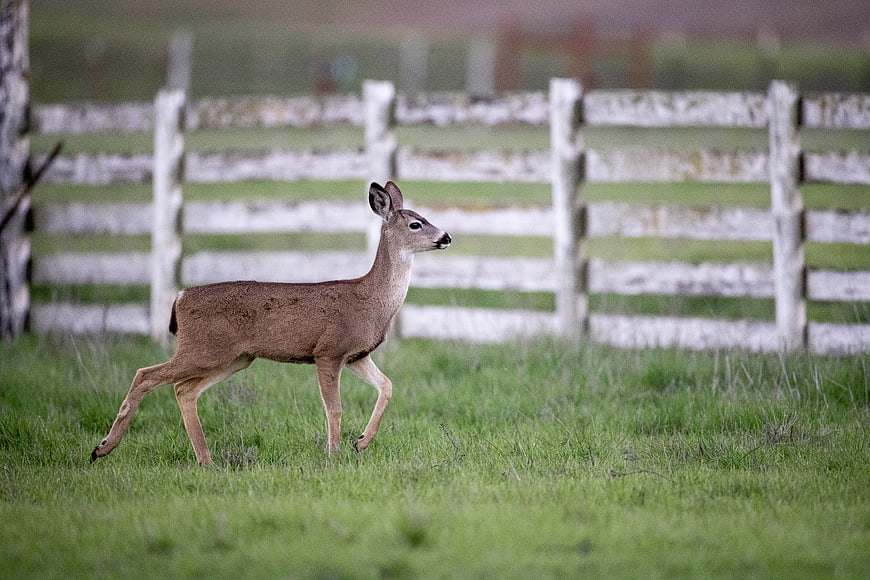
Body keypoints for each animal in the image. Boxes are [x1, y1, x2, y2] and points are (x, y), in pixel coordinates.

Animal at [90, 181, 451, 465]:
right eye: (416, 224)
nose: (446, 236)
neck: (371, 300)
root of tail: (179, 297)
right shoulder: (328, 350)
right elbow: (334, 408)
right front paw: (334, 454)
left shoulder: (357, 355)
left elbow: (387, 385)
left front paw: (361, 442)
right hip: (204, 348)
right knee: (146, 374)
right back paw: (103, 448)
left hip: (236, 357)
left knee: (184, 389)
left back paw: (206, 460)